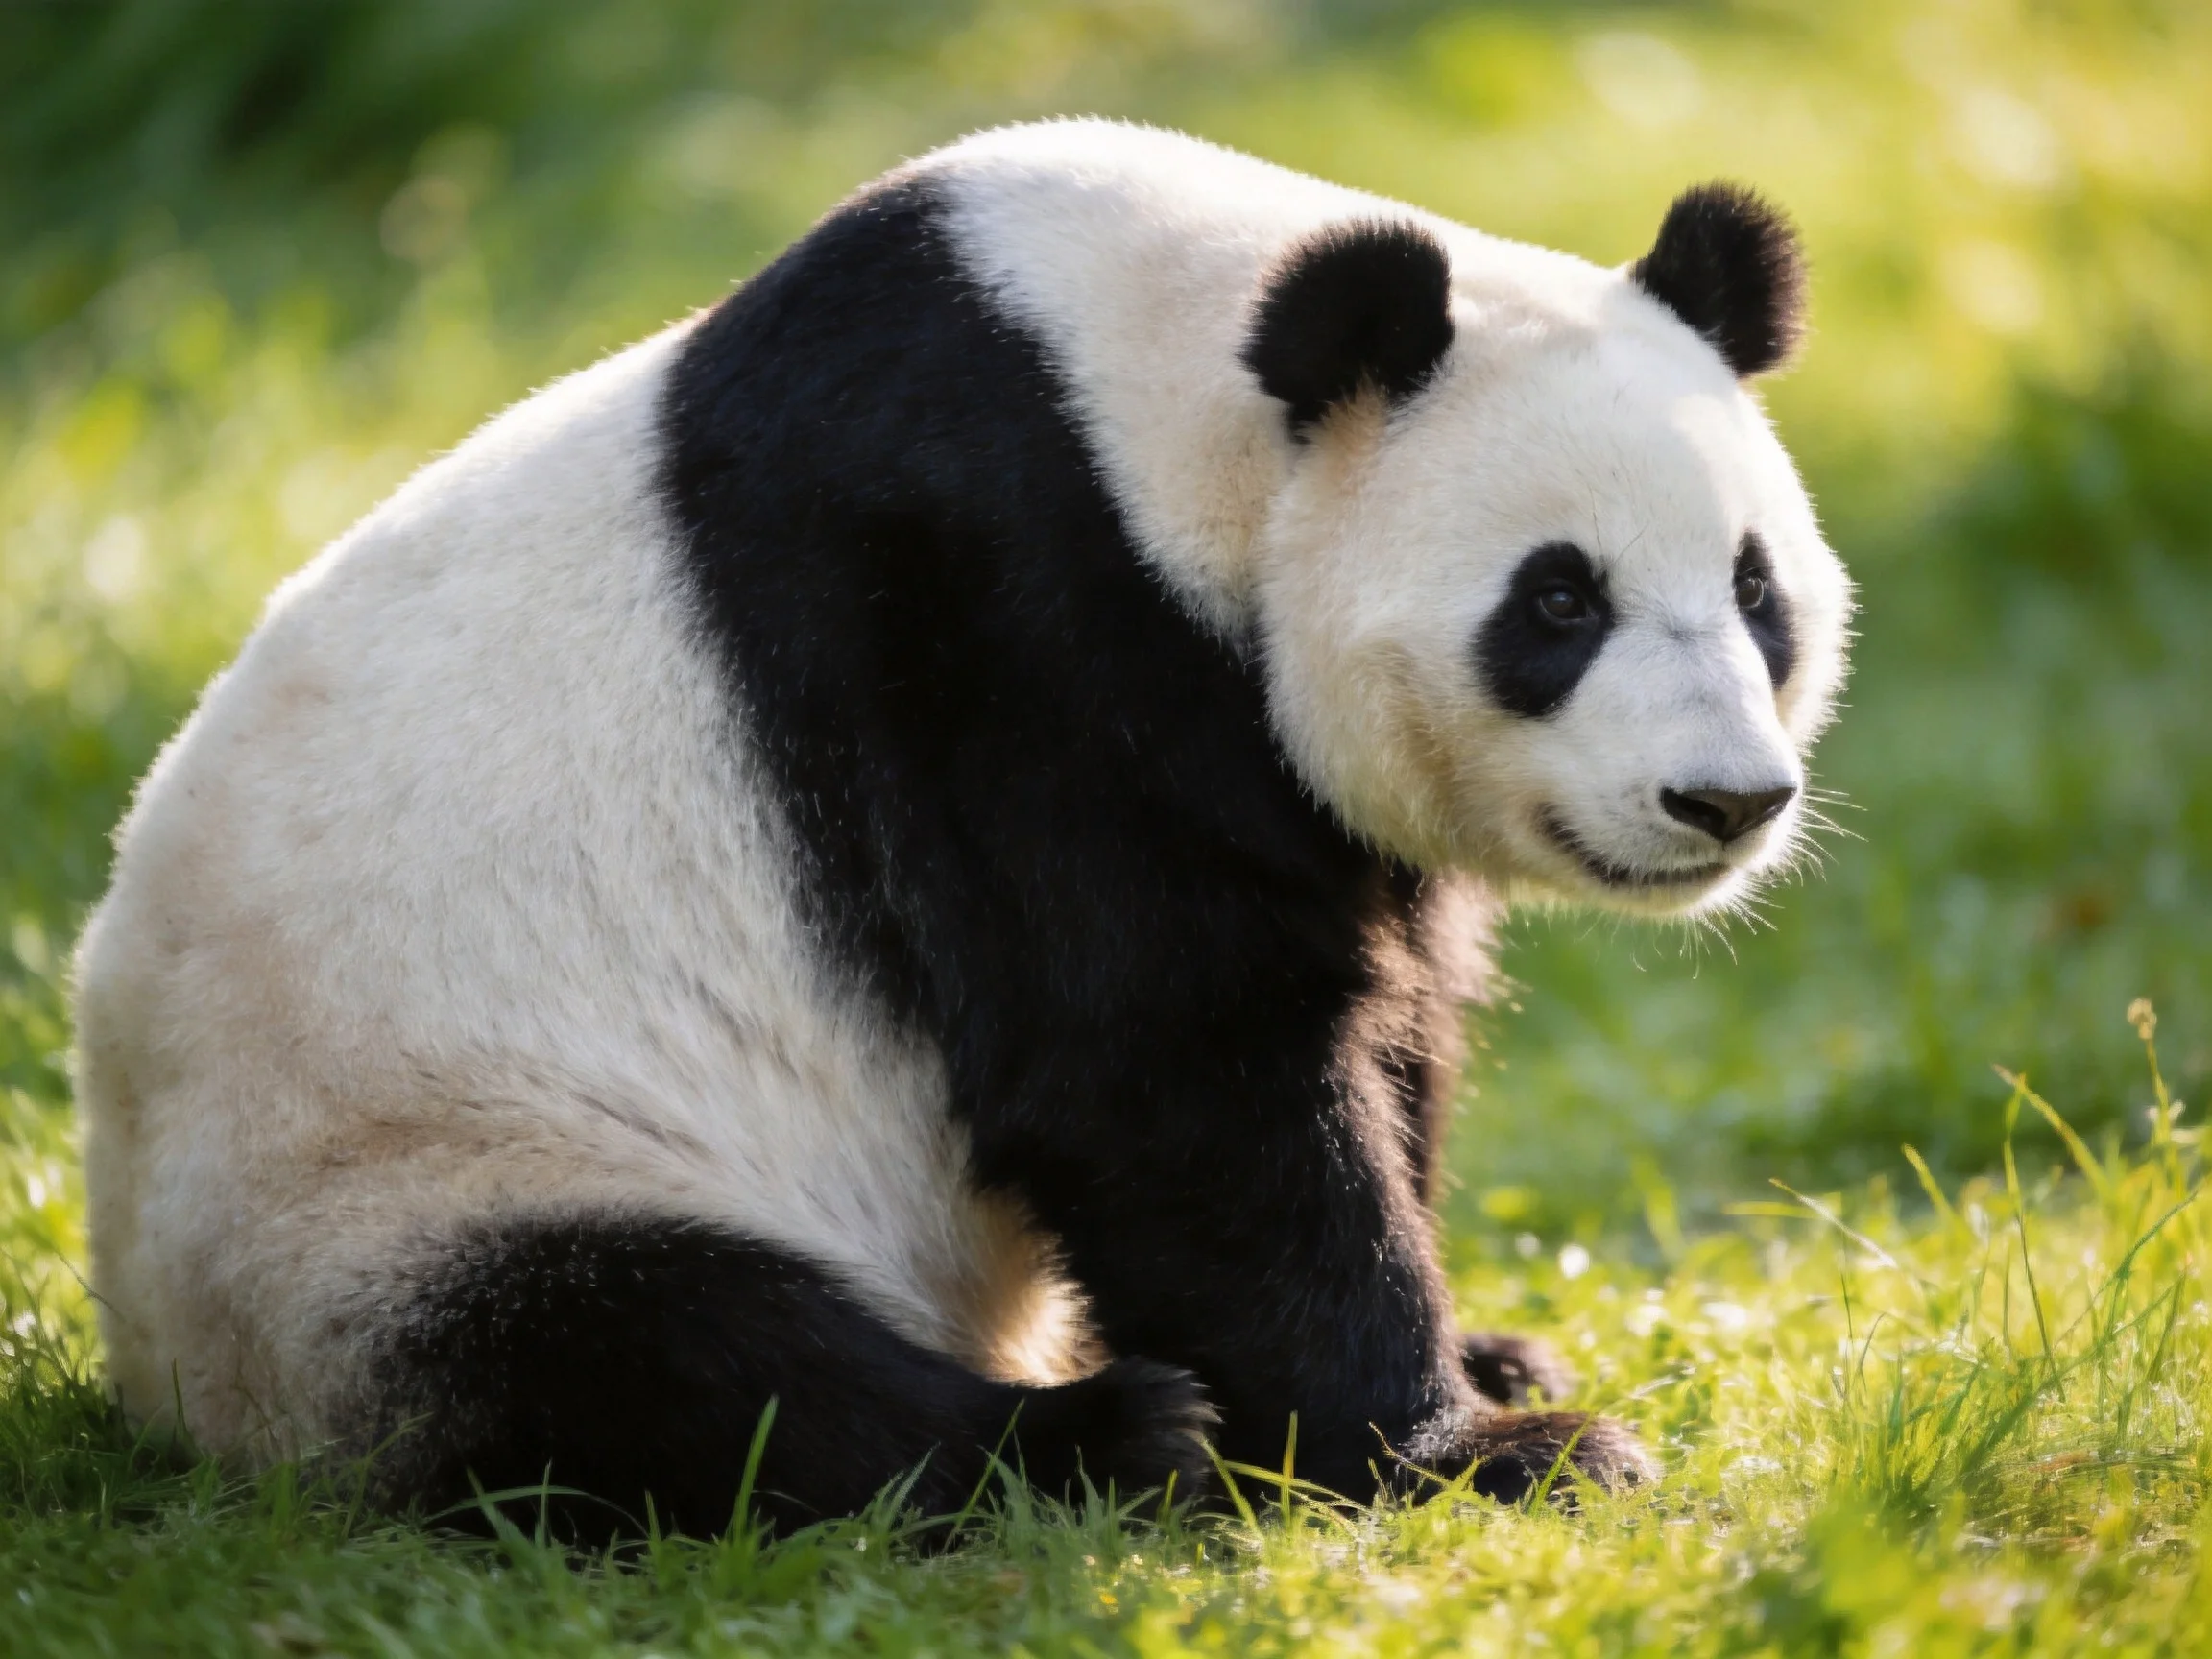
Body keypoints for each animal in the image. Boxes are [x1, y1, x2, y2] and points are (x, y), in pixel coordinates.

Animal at [74, 119, 1850, 1540]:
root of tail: (178, 1398)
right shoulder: (995, 617)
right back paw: (1099, 1440)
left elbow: (1380, 1019)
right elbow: (1165, 1063)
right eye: (1555, 600)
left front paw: (1485, 1355)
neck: (1139, 391)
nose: (1722, 799)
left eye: (1754, 587)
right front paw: (1484, 1450)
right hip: (405, 1178)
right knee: (661, 1360)